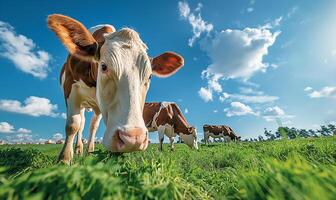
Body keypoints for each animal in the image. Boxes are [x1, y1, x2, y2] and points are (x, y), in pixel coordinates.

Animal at [47, 14, 184, 164]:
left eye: (150, 76)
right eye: (104, 66)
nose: (133, 139)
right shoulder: (70, 87)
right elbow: (73, 125)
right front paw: (64, 160)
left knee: (93, 126)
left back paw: (89, 150)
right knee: (81, 123)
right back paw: (78, 149)